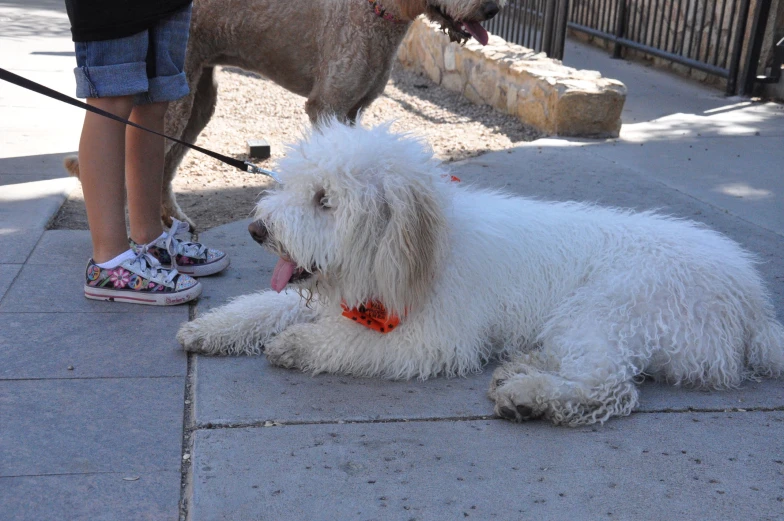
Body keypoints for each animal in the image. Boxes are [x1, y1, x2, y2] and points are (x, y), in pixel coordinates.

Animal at [178, 122, 784, 426]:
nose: (258, 229)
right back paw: (522, 369)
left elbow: (346, 343)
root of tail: (754, 307)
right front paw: (210, 328)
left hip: (607, 308)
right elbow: (266, 304)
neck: (426, 246)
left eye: (325, 199)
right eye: (293, 185)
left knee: (607, 388)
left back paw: (531, 397)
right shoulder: (342, 291)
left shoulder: (432, 339)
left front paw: (297, 344)